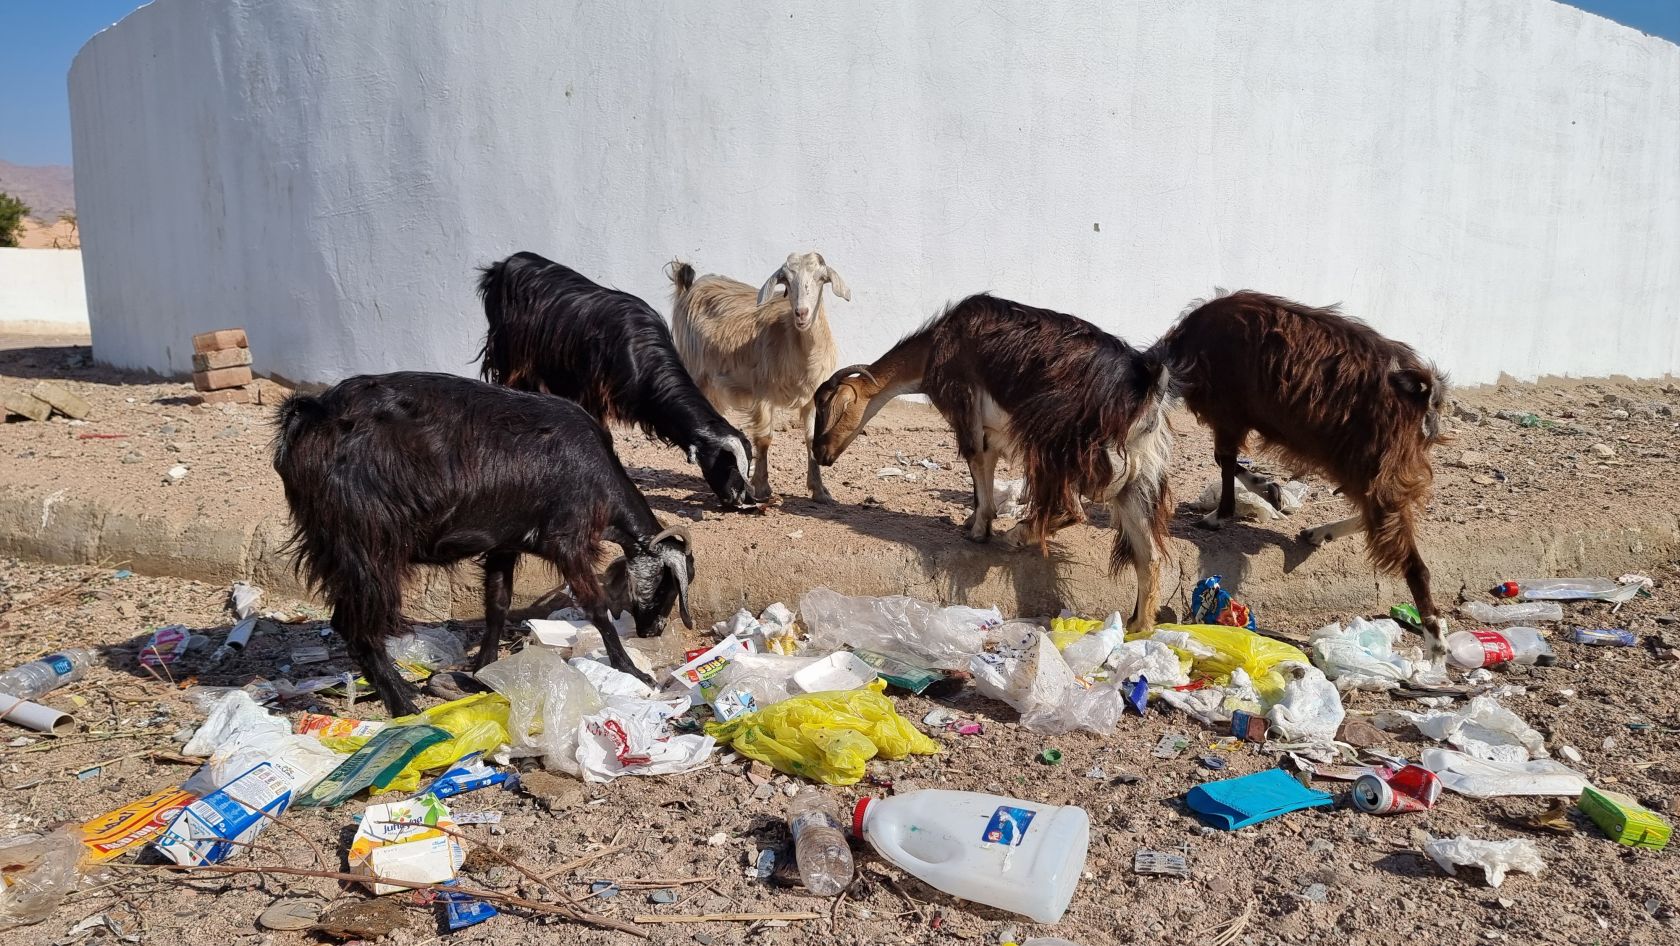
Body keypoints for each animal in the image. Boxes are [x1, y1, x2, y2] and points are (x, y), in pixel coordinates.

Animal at [272, 374, 692, 715]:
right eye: (670, 586)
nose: (652, 632)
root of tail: (308, 416)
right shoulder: (567, 543)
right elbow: (597, 608)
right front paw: (634, 671)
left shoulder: (505, 543)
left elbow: (497, 604)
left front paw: (484, 672)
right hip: (365, 548)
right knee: (358, 626)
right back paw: (404, 705)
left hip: (336, 545)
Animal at [668, 252, 853, 504]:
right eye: (786, 281)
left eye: (820, 278)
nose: (801, 313)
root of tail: (690, 287)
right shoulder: (763, 391)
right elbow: (764, 438)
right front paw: (762, 487)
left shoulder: (813, 398)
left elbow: (811, 438)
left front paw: (820, 491)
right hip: (696, 368)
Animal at [809, 294, 1169, 635]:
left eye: (826, 407)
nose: (821, 453)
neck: (934, 349)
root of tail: (1145, 389)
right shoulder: (992, 431)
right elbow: (984, 467)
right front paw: (975, 520)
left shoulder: (962, 402)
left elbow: (973, 459)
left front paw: (980, 529)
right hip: (1136, 479)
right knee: (1148, 555)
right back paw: (1140, 626)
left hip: (1058, 445)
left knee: (1075, 510)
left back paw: (1018, 534)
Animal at [1162, 292, 1451, 655]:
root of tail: (1423, 394)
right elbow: (1230, 463)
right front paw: (1269, 490)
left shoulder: (1228, 412)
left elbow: (1224, 460)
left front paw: (1221, 514)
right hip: (1371, 467)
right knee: (1382, 519)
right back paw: (1317, 533)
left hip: (1375, 463)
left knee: (1409, 557)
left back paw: (1436, 642)